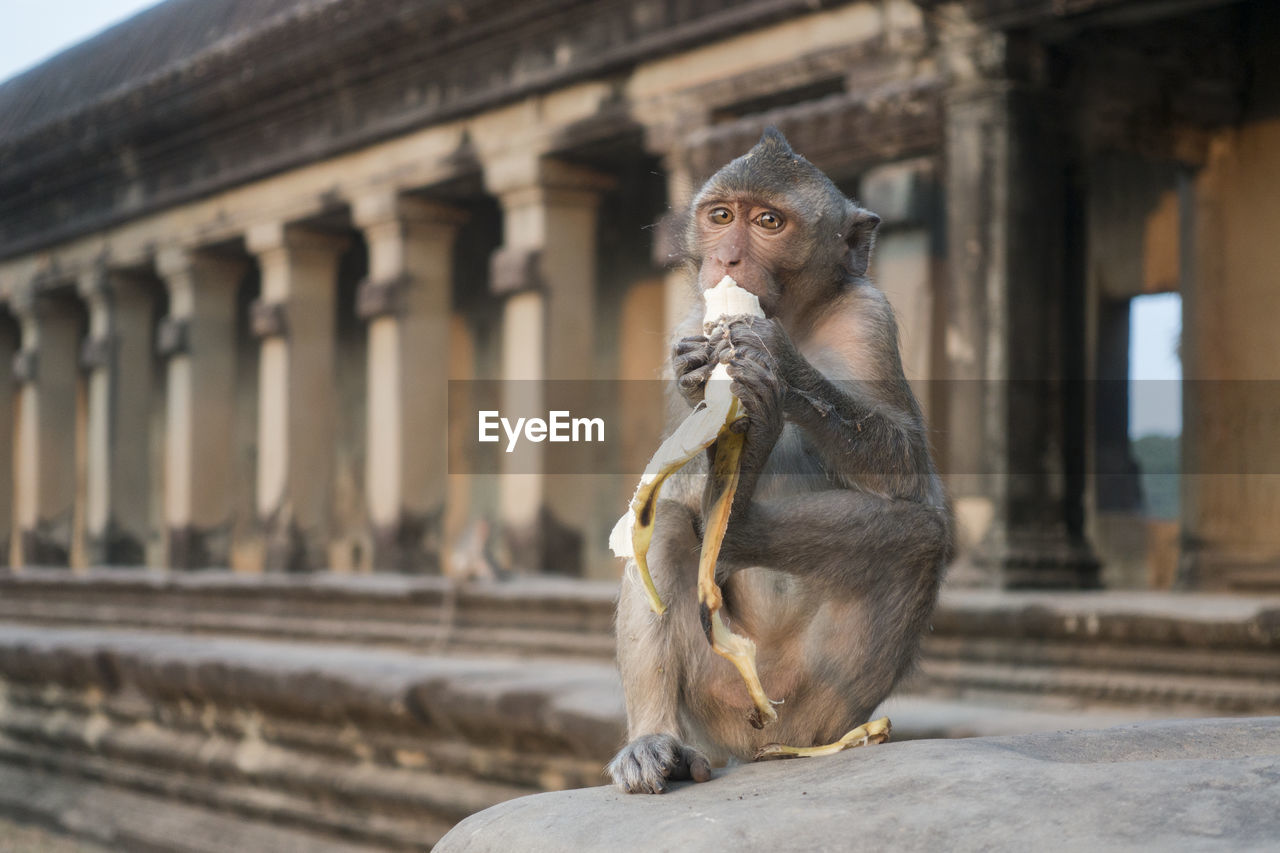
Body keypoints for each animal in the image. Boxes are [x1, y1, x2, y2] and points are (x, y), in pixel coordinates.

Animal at [607, 128, 953, 794]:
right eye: (721, 217)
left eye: (768, 222)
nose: (728, 262)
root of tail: (755, 740)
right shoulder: (686, 322)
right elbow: (670, 477)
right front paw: (704, 385)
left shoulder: (869, 315)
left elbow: (907, 466)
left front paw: (777, 363)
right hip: (712, 691)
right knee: (664, 523)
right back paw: (654, 742)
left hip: (807, 696)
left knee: (918, 535)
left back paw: (738, 515)